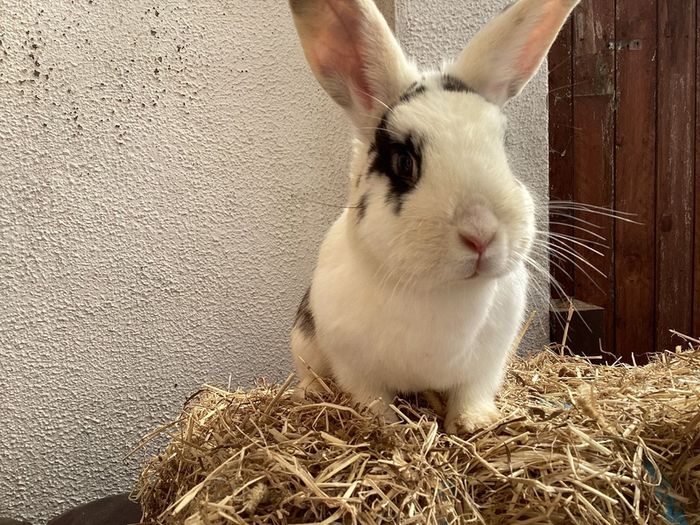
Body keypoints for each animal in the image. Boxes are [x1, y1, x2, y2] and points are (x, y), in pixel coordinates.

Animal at [288, 0, 579, 434]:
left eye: (503, 147)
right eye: (404, 163)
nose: (481, 233)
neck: (443, 289)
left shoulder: (488, 362)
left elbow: (471, 393)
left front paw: (475, 423)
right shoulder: (354, 365)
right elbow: (371, 399)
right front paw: (385, 428)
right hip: (304, 343)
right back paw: (308, 394)